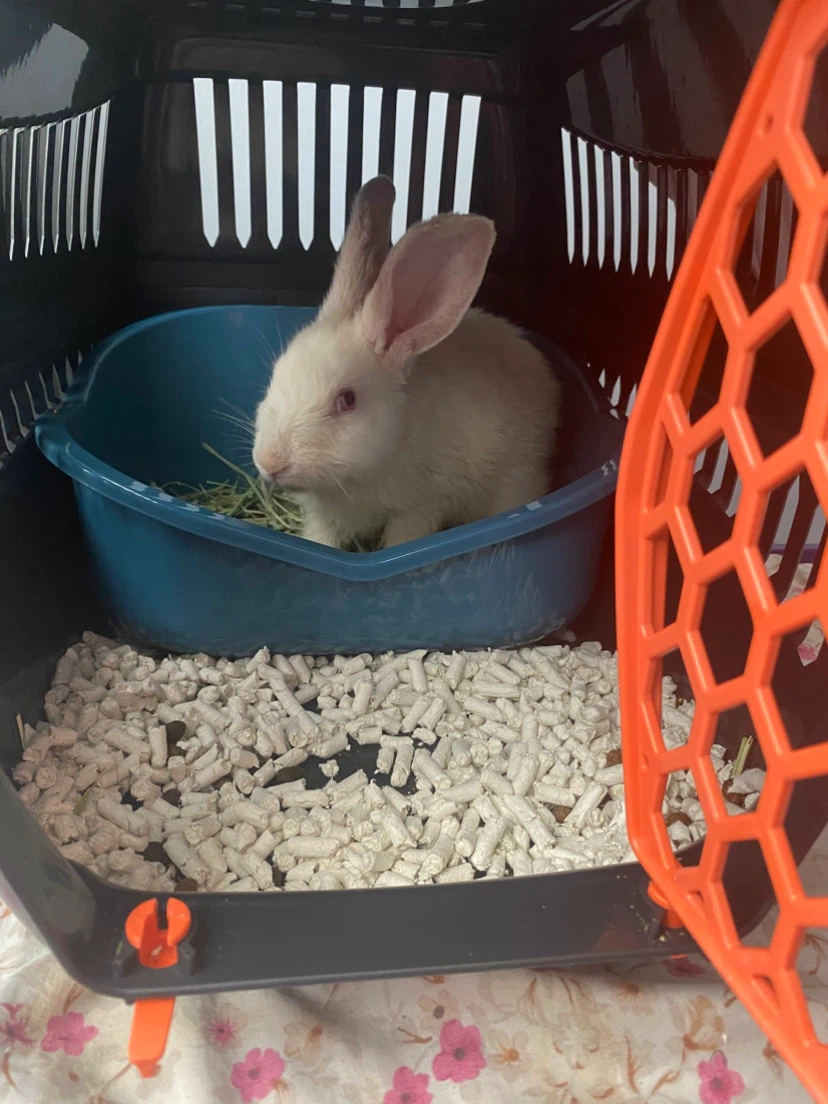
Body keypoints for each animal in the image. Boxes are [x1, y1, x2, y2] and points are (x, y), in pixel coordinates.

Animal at [253, 175, 561, 550]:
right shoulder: (325, 520)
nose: (270, 461)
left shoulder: (420, 507)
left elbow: (403, 538)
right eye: (274, 376)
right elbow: (321, 540)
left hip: (518, 477)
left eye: (347, 400)